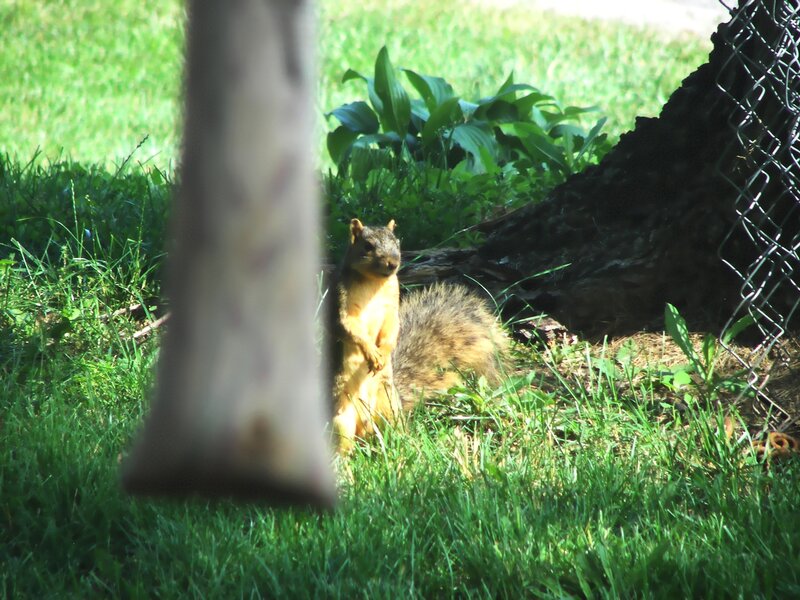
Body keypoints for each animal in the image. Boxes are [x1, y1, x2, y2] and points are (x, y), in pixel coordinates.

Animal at [329, 218, 508, 453]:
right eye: (367, 246)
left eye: (397, 242)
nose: (393, 263)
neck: (374, 282)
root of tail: (364, 429)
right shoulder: (341, 302)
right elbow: (349, 328)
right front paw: (372, 353)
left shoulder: (392, 306)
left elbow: (392, 329)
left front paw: (383, 353)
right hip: (341, 420)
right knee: (343, 446)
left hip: (390, 407)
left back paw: (404, 444)